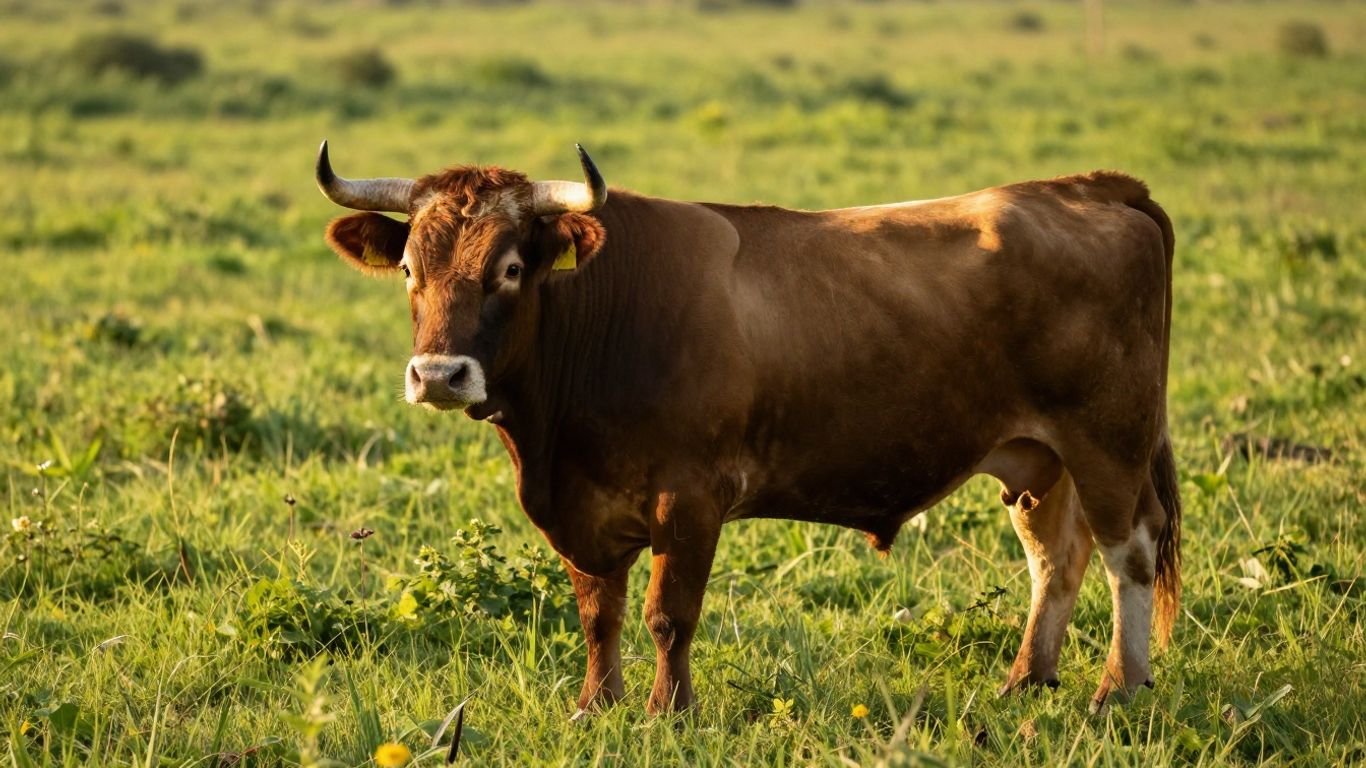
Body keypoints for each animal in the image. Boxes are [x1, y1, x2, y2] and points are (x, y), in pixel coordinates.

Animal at [314, 141, 1181, 718]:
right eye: (409, 270)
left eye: (511, 269)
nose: (439, 375)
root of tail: (1088, 187)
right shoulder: (581, 510)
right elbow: (600, 613)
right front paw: (598, 706)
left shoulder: (689, 499)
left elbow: (669, 614)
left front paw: (669, 712)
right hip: (1038, 456)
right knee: (1056, 557)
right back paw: (1027, 679)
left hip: (1109, 444)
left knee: (1128, 551)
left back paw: (1121, 688)